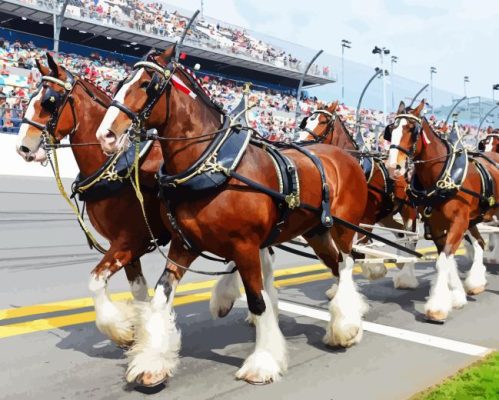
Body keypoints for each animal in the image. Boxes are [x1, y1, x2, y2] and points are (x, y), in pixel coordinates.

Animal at [97, 47, 370, 388]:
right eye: (121, 80)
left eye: (147, 84)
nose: (105, 135)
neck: (211, 164)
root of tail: (345, 157)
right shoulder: (184, 245)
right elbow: (160, 296)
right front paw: (151, 364)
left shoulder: (245, 246)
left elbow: (258, 300)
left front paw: (262, 363)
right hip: (316, 232)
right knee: (336, 266)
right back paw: (348, 322)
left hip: (343, 229)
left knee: (346, 264)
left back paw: (347, 326)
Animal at [298, 102, 420, 290]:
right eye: (307, 121)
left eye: (323, 121)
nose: (300, 143)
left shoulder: (366, 218)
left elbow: (358, 247)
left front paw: (374, 269)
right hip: (385, 215)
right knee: (400, 234)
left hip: (408, 210)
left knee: (410, 236)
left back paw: (406, 274)